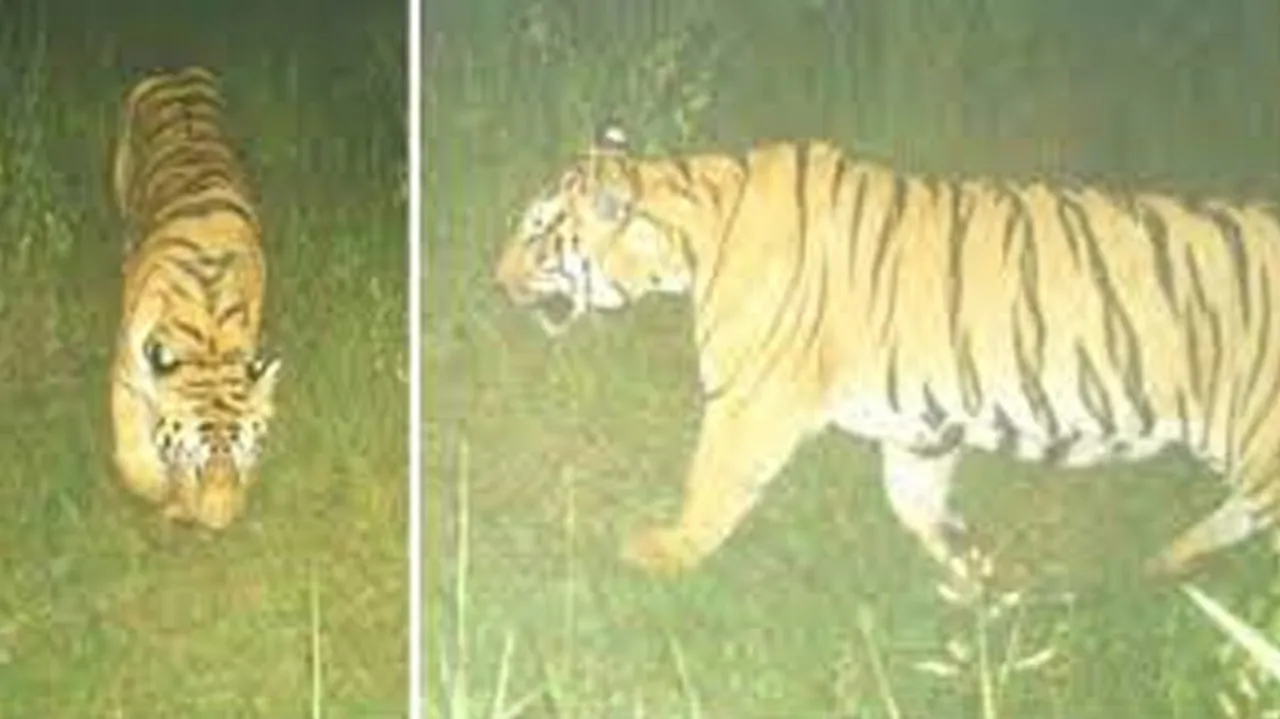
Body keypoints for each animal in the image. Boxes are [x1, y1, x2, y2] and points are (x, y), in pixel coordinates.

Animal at [110, 66, 281, 530]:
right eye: (194, 462)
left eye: (245, 459)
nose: (219, 525)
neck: (209, 339)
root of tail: (174, 71)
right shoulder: (128, 371)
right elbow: (132, 446)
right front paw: (160, 492)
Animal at [493, 122, 1280, 583]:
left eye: (537, 232)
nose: (494, 280)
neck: (694, 228)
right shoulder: (922, 427)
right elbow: (915, 504)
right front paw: (977, 576)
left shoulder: (750, 403)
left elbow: (712, 484)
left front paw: (664, 553)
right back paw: (1165, 563)